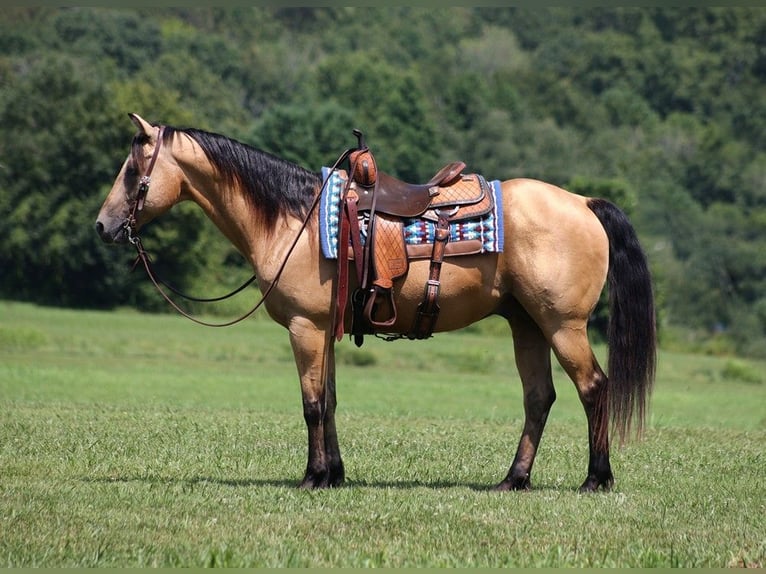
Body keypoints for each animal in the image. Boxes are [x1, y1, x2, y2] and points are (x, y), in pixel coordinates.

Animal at [96, 113, 660, 496]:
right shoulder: (323, 330)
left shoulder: (304, 327)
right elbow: (330, 402)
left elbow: (311, 404)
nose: (103, 226)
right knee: (539, 398)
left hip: (562, 325)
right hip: (527, 324)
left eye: (131, 168)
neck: (295, 221)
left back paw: (596, 479)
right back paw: (513, 480)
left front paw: (312, 477)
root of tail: (583, 202)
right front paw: (334, 475)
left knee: (594, 388)